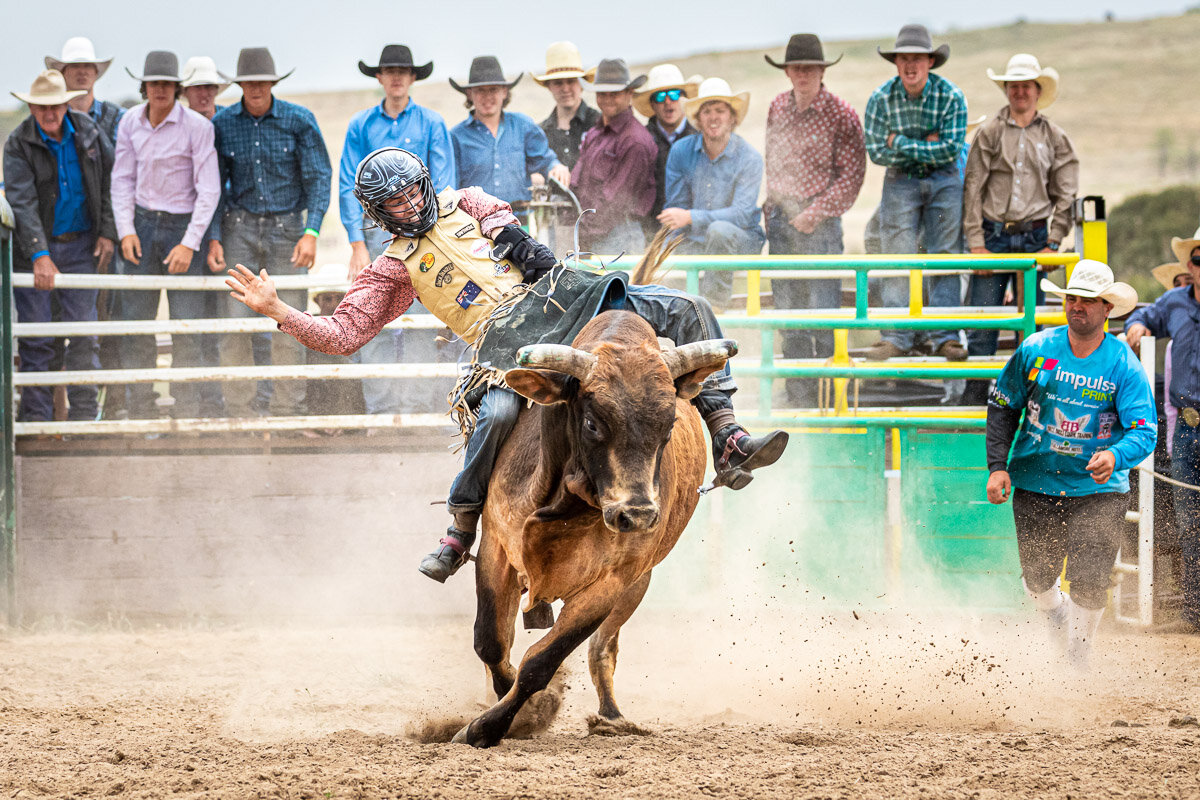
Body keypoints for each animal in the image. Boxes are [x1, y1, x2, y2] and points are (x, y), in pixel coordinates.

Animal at [448, 309, 729, 753]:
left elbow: (542, 661)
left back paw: (611, 717)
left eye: (668, 426)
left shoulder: (612, 583)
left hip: (637, 584)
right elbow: (491, 641)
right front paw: (517, 710)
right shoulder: (497, 548)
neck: (566, 504)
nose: (638, 515)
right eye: (594, 424)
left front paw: (490, 726)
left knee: (602, 648)